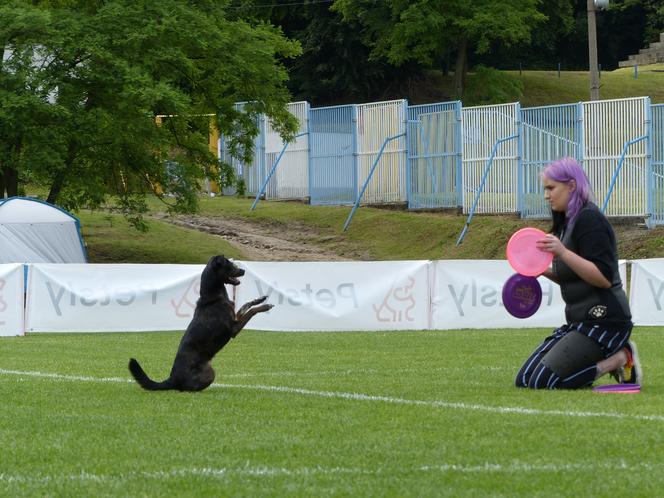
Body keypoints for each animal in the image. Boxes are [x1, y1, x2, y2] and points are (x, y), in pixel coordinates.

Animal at [127, 255, 272, 392]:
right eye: (229, 264)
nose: (243, 270)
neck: (214, 297)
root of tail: (172, 379)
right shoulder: (233, 329)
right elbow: (251, 311)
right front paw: (265, 307)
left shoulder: (235, 317)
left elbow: (246, 305)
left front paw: (260, 299)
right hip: (209, 374)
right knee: (185, 389)